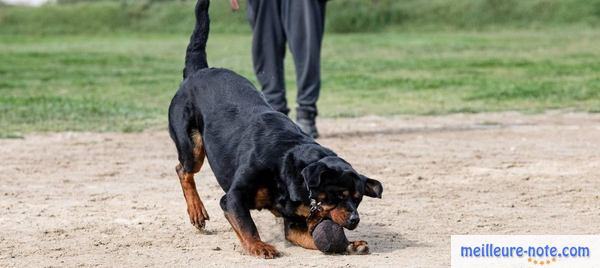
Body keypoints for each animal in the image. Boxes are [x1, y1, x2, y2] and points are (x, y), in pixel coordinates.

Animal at [168, 0, 384, 260]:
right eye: (339, 195)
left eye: (358, 199)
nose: (355, 219)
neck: (287, 167)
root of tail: (198, 71)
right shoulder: (233, 198)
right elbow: (246, 224)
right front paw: (259, 245)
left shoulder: (294, 223)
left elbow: (314, 237)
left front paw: (351, 244)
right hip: (192, 146)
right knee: (183, 170)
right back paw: (196, 211)